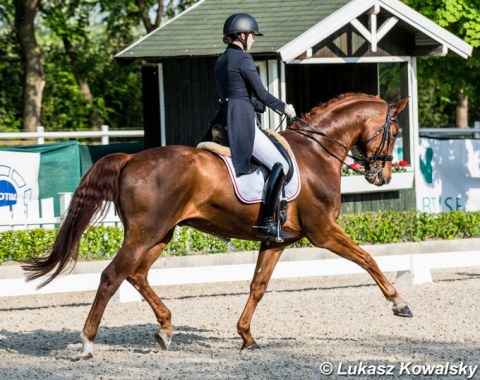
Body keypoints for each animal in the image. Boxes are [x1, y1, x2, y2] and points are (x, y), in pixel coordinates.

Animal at [23, 93, 412, 360]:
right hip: (145, 233)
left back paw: (165, 329)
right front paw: (399, 304)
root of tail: (130, 158)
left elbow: (258, 286)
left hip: (160, 234)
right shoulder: (324, 231)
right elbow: (367, 259)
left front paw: (247, 337)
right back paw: (87, 344)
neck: (316, 153)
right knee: (111, 276)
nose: (383, 176)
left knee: (136, 274)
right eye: (394, 132)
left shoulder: (276, 241)